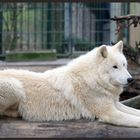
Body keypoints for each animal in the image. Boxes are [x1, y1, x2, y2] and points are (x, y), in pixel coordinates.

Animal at [0, 40, 140, 127]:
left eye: (124, 65)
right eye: (114, 67)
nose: (130, 80)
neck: (93, 79)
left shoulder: (115, 104)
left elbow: (135, 111)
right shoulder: (108, 112)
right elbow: (135, 119)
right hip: (15, 87)